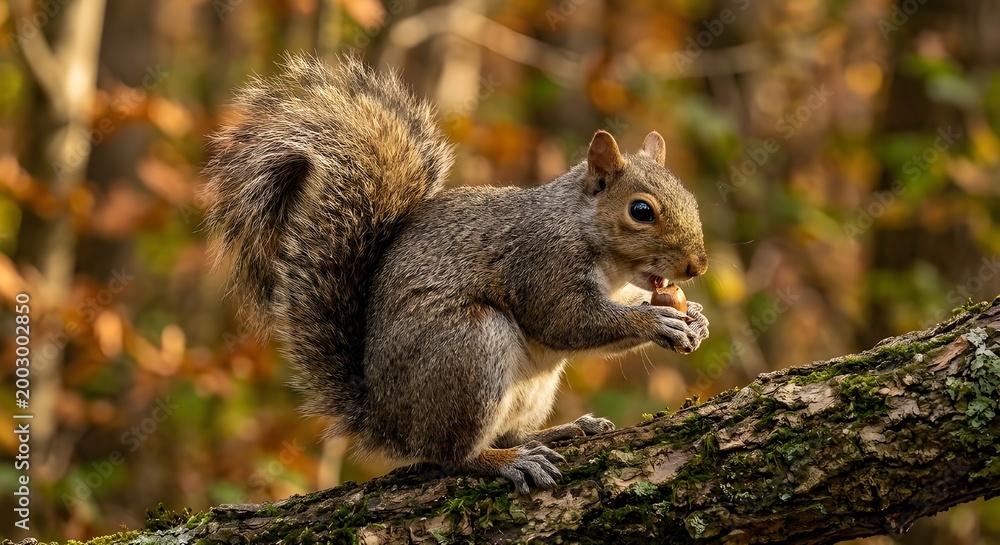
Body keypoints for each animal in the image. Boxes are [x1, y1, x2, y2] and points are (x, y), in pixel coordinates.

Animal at [202, 55, 710, 495]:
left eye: (691, 196)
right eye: (641, 211)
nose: (697, 266)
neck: (585, 232)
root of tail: (387, 418)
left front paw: (696, 317)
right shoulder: (542, 264)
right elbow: (569, 321)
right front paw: (658, 322)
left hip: (531, 389)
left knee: (506, 433)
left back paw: (564, 431)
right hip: (470, 350)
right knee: (452, 455)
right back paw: (507, 462)